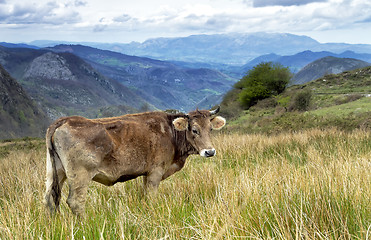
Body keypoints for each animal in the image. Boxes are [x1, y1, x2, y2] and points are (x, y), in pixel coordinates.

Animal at [45, 108, 228, 215]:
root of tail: (65, 120)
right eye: (194, 130)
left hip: (55, 172)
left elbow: (145, 196)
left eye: (210, 129)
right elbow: (151, 196)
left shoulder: (147, 173)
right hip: (80, 174)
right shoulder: (155, 171)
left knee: (49, 199)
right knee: (75, 201)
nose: (210, 151)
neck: (170, 132)